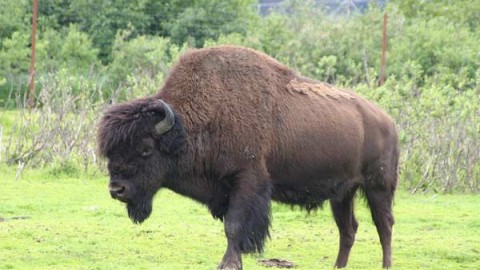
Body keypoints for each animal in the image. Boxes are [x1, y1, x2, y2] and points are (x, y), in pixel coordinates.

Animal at [96, 45, 398, 268]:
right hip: (343, 193)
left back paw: (385, 265)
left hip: (378, 187)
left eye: (146, 149)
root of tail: (388, 122)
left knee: (384, 225)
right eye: (111, 152)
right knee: (348, 228)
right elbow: (231, 227)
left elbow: (234, 226)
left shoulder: (247, 180)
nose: (116, 189)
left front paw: (229, 264)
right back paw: (338, 266)